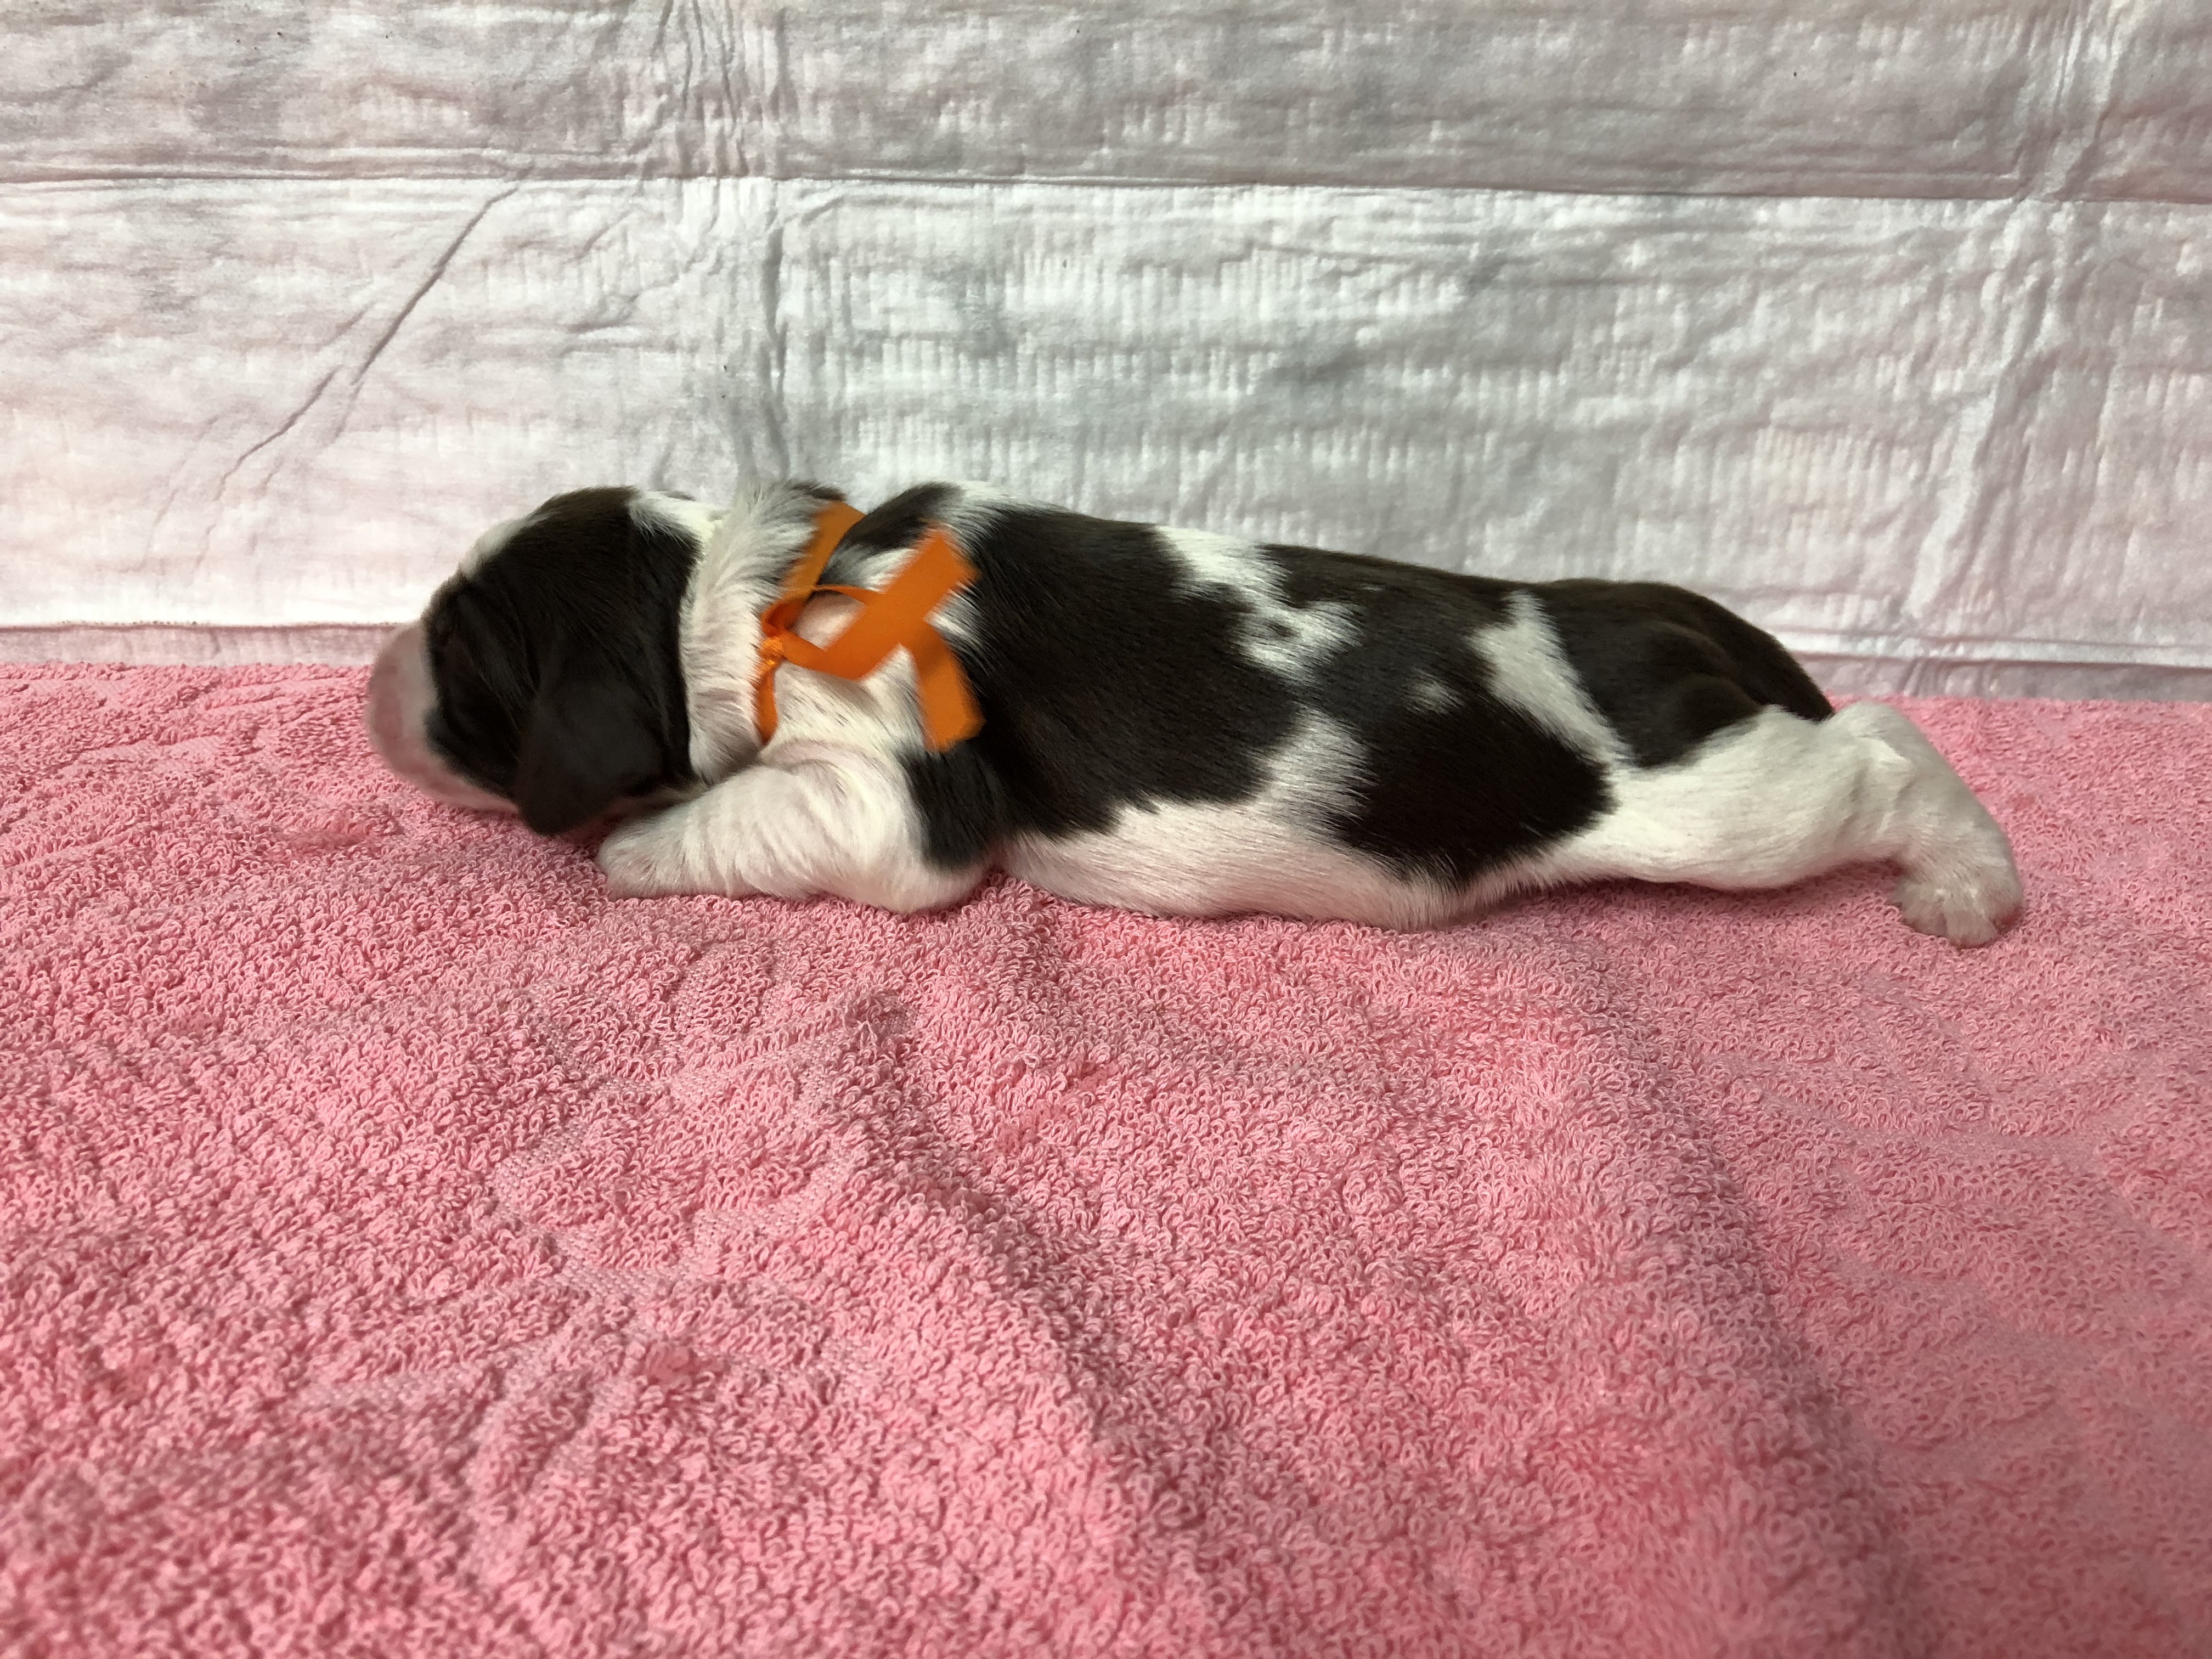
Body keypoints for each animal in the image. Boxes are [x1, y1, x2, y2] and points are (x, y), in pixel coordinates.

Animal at [364, 481, 2023, 944]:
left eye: (460, 663)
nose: (370, 686)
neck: (745, 600)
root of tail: (1665, 612)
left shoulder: (885, 798)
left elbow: (748, 814)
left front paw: (635, 849)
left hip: (1717, 809)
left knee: (1886, 746)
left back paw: (1970, 888)